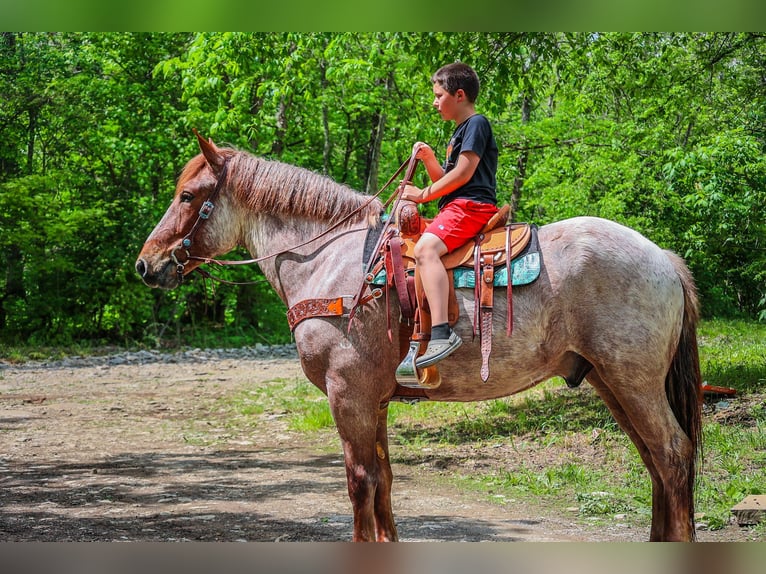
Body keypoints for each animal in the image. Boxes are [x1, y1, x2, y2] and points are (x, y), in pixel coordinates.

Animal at [136, 133, 704, 544]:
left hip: (634, 382)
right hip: (610, 382)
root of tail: (663, 257)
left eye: (187, 196)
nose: (146, 265)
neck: (332, 262)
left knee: (673, 454)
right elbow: (383, 481)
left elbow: (360, 482)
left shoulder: (349, 395)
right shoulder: (375, 400)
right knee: (656, 462)